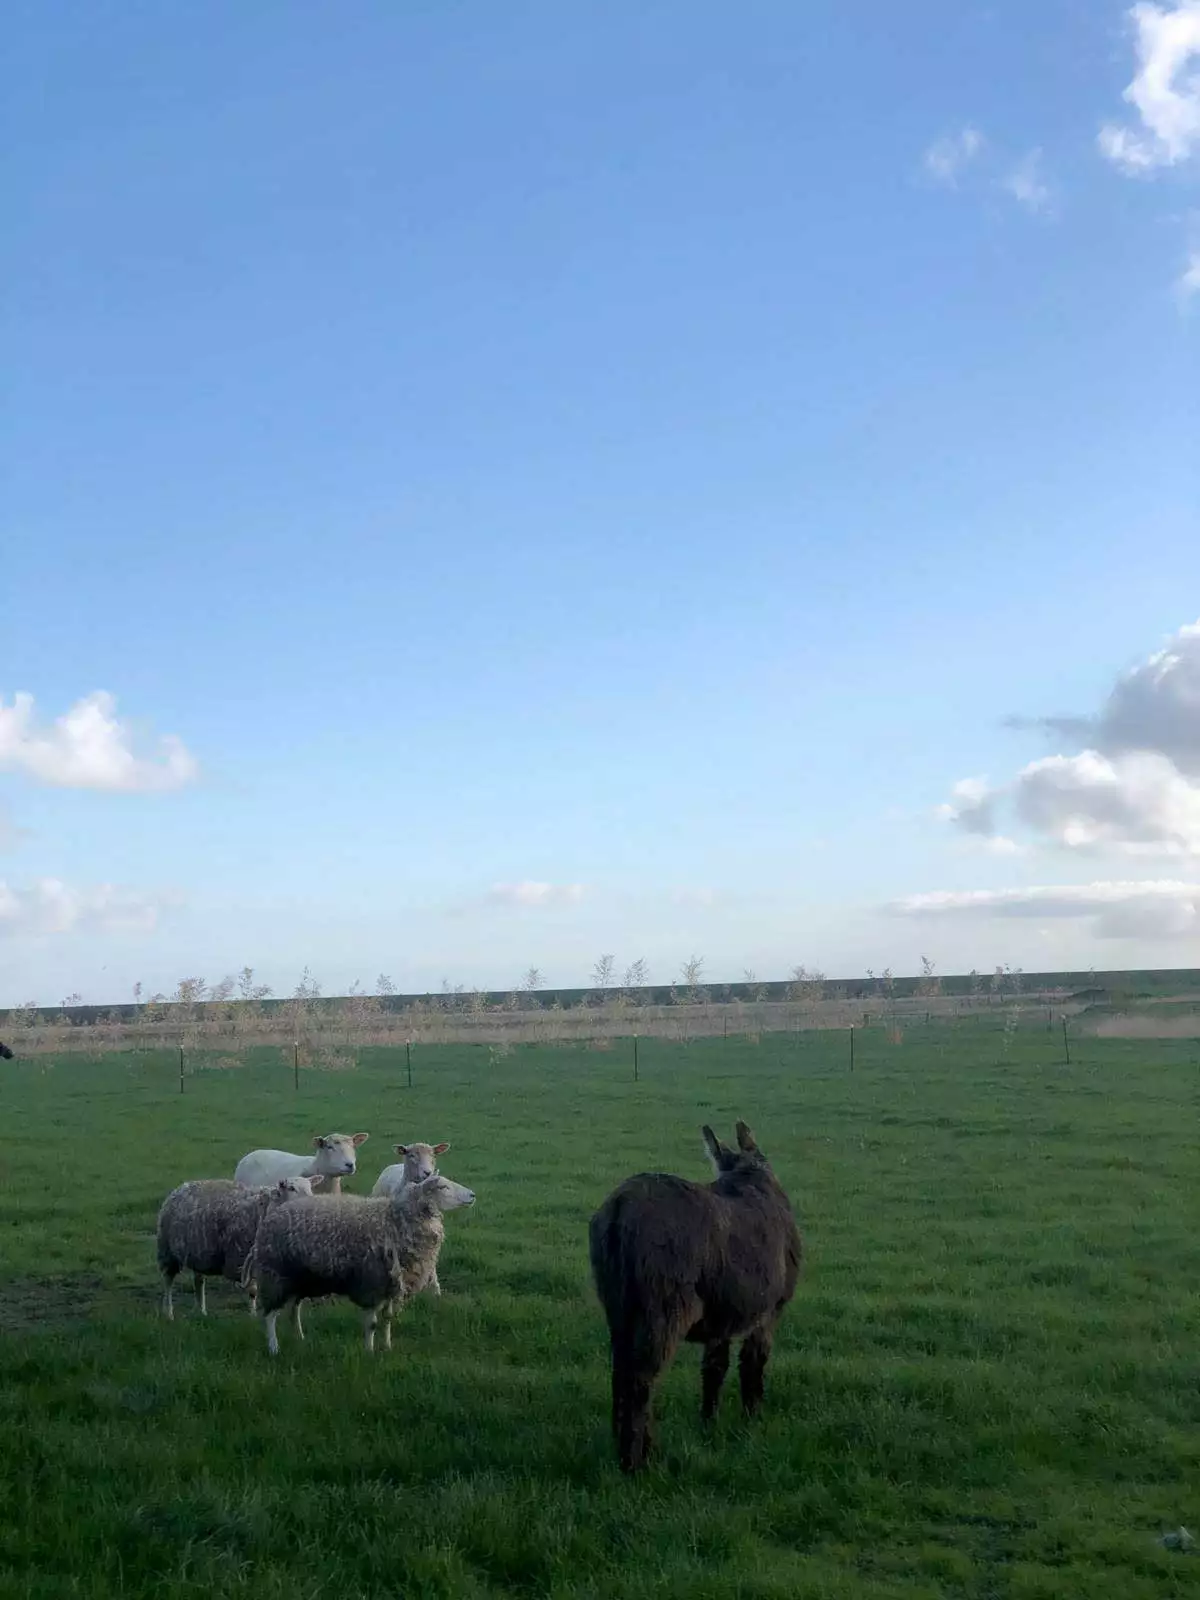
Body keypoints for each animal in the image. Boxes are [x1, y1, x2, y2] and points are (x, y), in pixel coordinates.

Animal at [157, 1174, 322, 1320]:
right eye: (292, 1188)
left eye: (310, 1187)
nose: (310, 1203)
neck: (266, 1206)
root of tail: (182, 1187)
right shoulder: (241, 1259)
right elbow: (253, 1291)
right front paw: (253, 1316)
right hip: (167, 1250)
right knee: (168, 1281)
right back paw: (168, 1313)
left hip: (199, 1253)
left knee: (199, 1281)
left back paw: (201, 1311)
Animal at [247, 1172, 475, 1356]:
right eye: (443, 1187)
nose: (472, 1195)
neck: (395, 1220)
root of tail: (275, 1213)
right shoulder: (371, 1282)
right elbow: (372, 1324)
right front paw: (369, 1352)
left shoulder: (391, 1284)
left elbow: (388, 1319)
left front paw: (387, 1346)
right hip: (275, 1274)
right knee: (269, 1315)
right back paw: (274, 1348)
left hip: (299, 1278)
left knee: (294, 1309)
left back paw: (300, 1338)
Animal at [588, 1120, 802, 1473]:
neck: (750, 1171)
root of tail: (619, 1211)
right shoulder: (768, 1312)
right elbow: (752, 1367)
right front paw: (752, 1419)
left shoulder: (721, 1319)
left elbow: (714, 1370)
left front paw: (708, 1423)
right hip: (664, 1309)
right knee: (640, 1380)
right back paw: (637, 1462)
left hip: (618, 1308)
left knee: (620, 1373)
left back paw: (623, 1445)